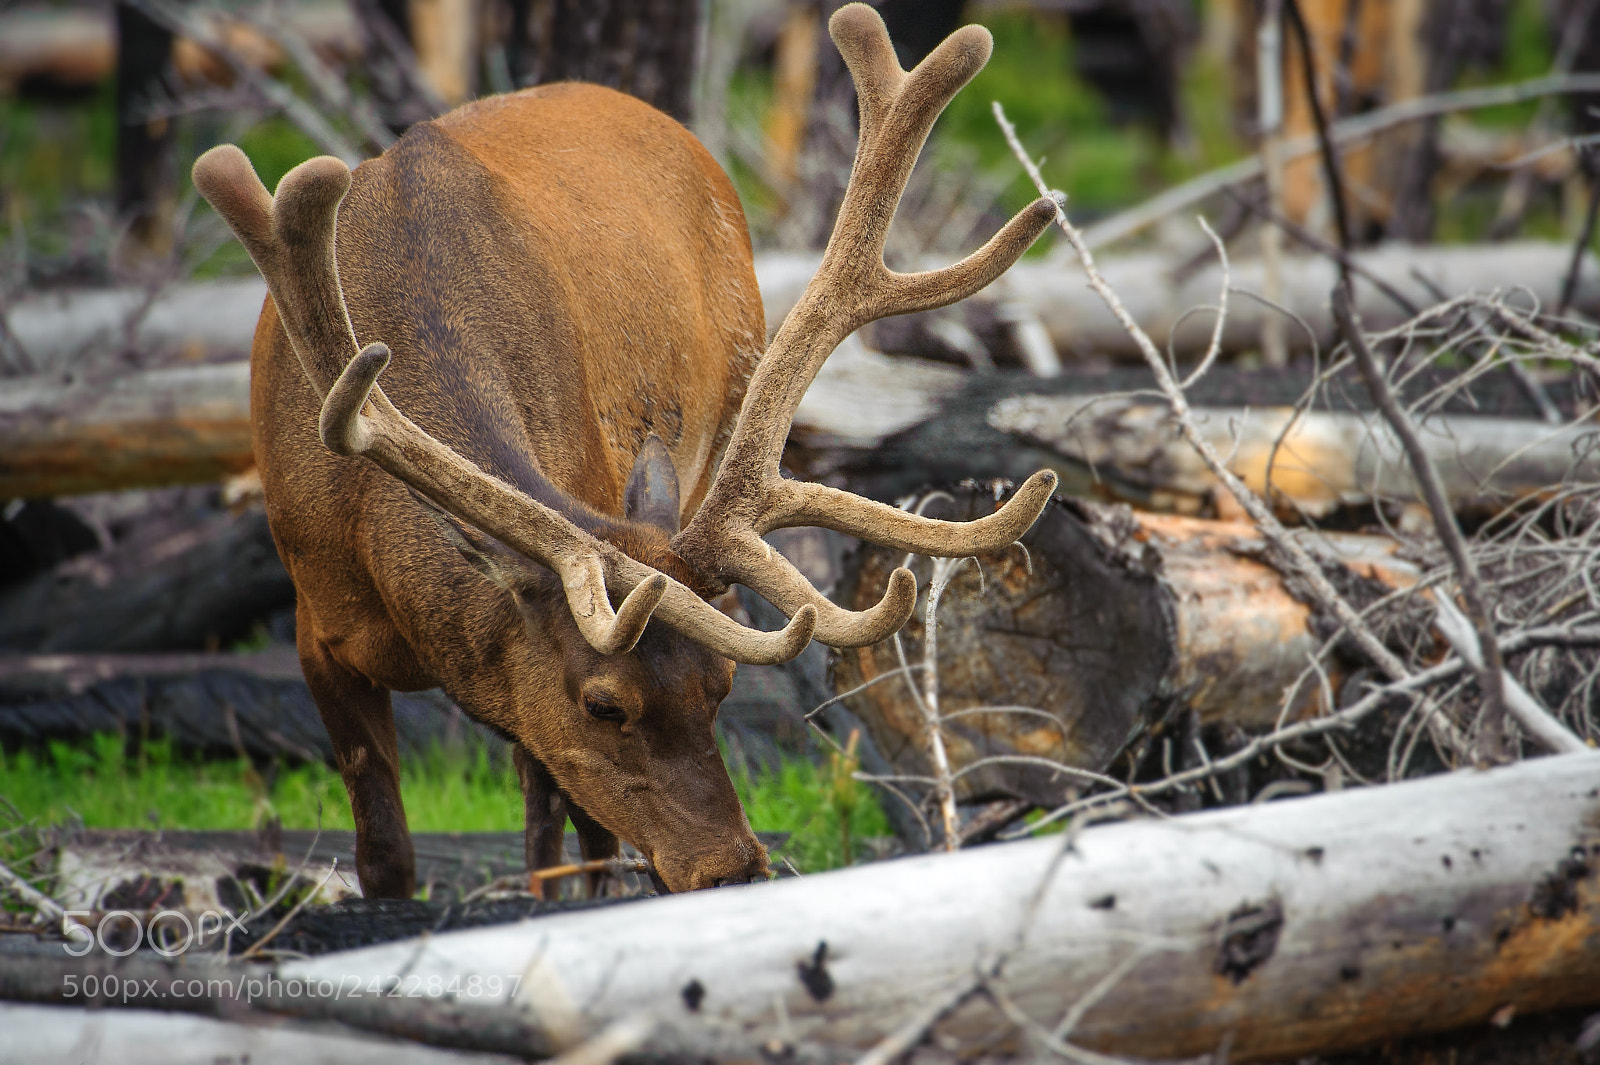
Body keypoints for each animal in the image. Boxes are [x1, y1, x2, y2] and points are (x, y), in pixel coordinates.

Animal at [190, 2, 1059, 897]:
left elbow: (566, 847)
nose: (733, 866)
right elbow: (386, 855)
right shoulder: (317, 629)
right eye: (604, 703)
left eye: (721, 685)